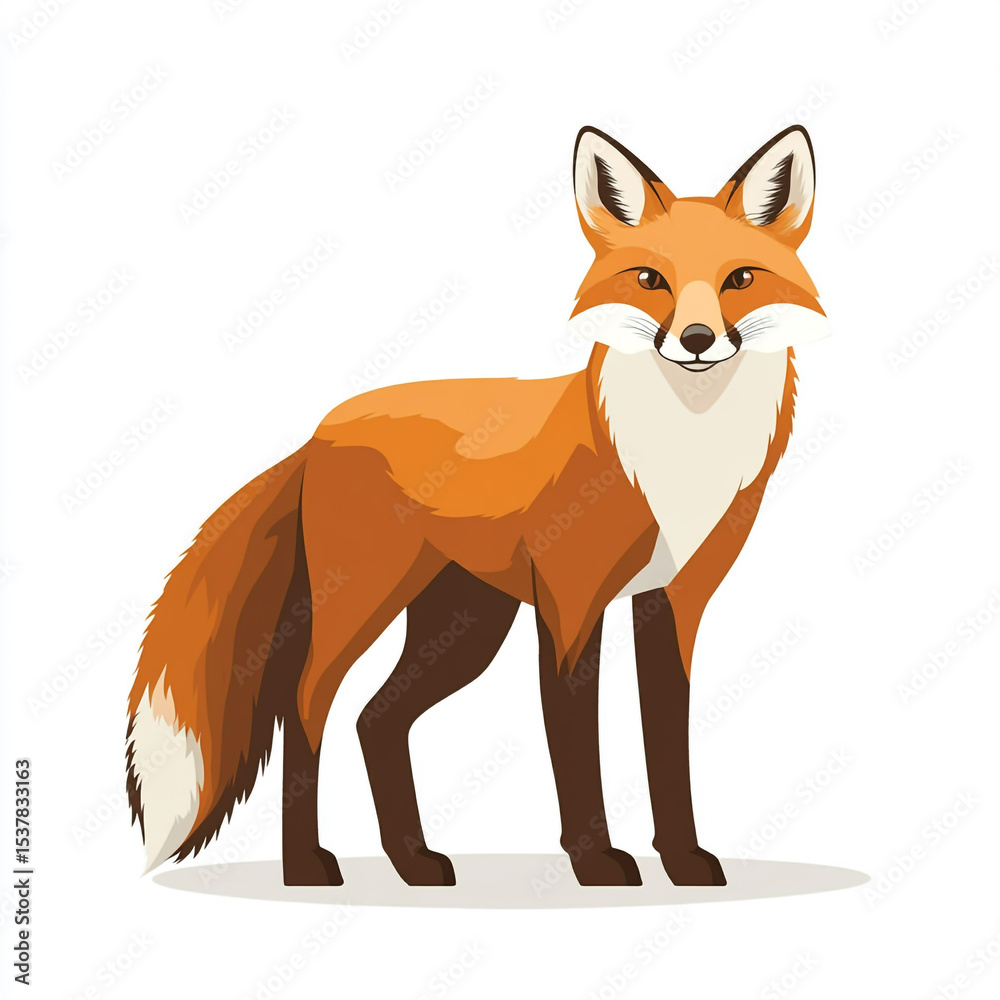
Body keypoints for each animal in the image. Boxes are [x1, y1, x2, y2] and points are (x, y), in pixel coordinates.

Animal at [127, 124, 830, 889]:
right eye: (650, 281)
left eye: (740, 279)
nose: (697, 340)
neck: (675, 455)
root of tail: (319, 432)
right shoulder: (571, 604)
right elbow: (575, 740)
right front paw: (595, 861)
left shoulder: (676, 602)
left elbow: (667, 742)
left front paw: (683, 860)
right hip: (364, 605)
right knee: (307, 708)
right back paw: (306, 865)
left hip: (463, 626)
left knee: (376, 718)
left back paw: (412, 861)